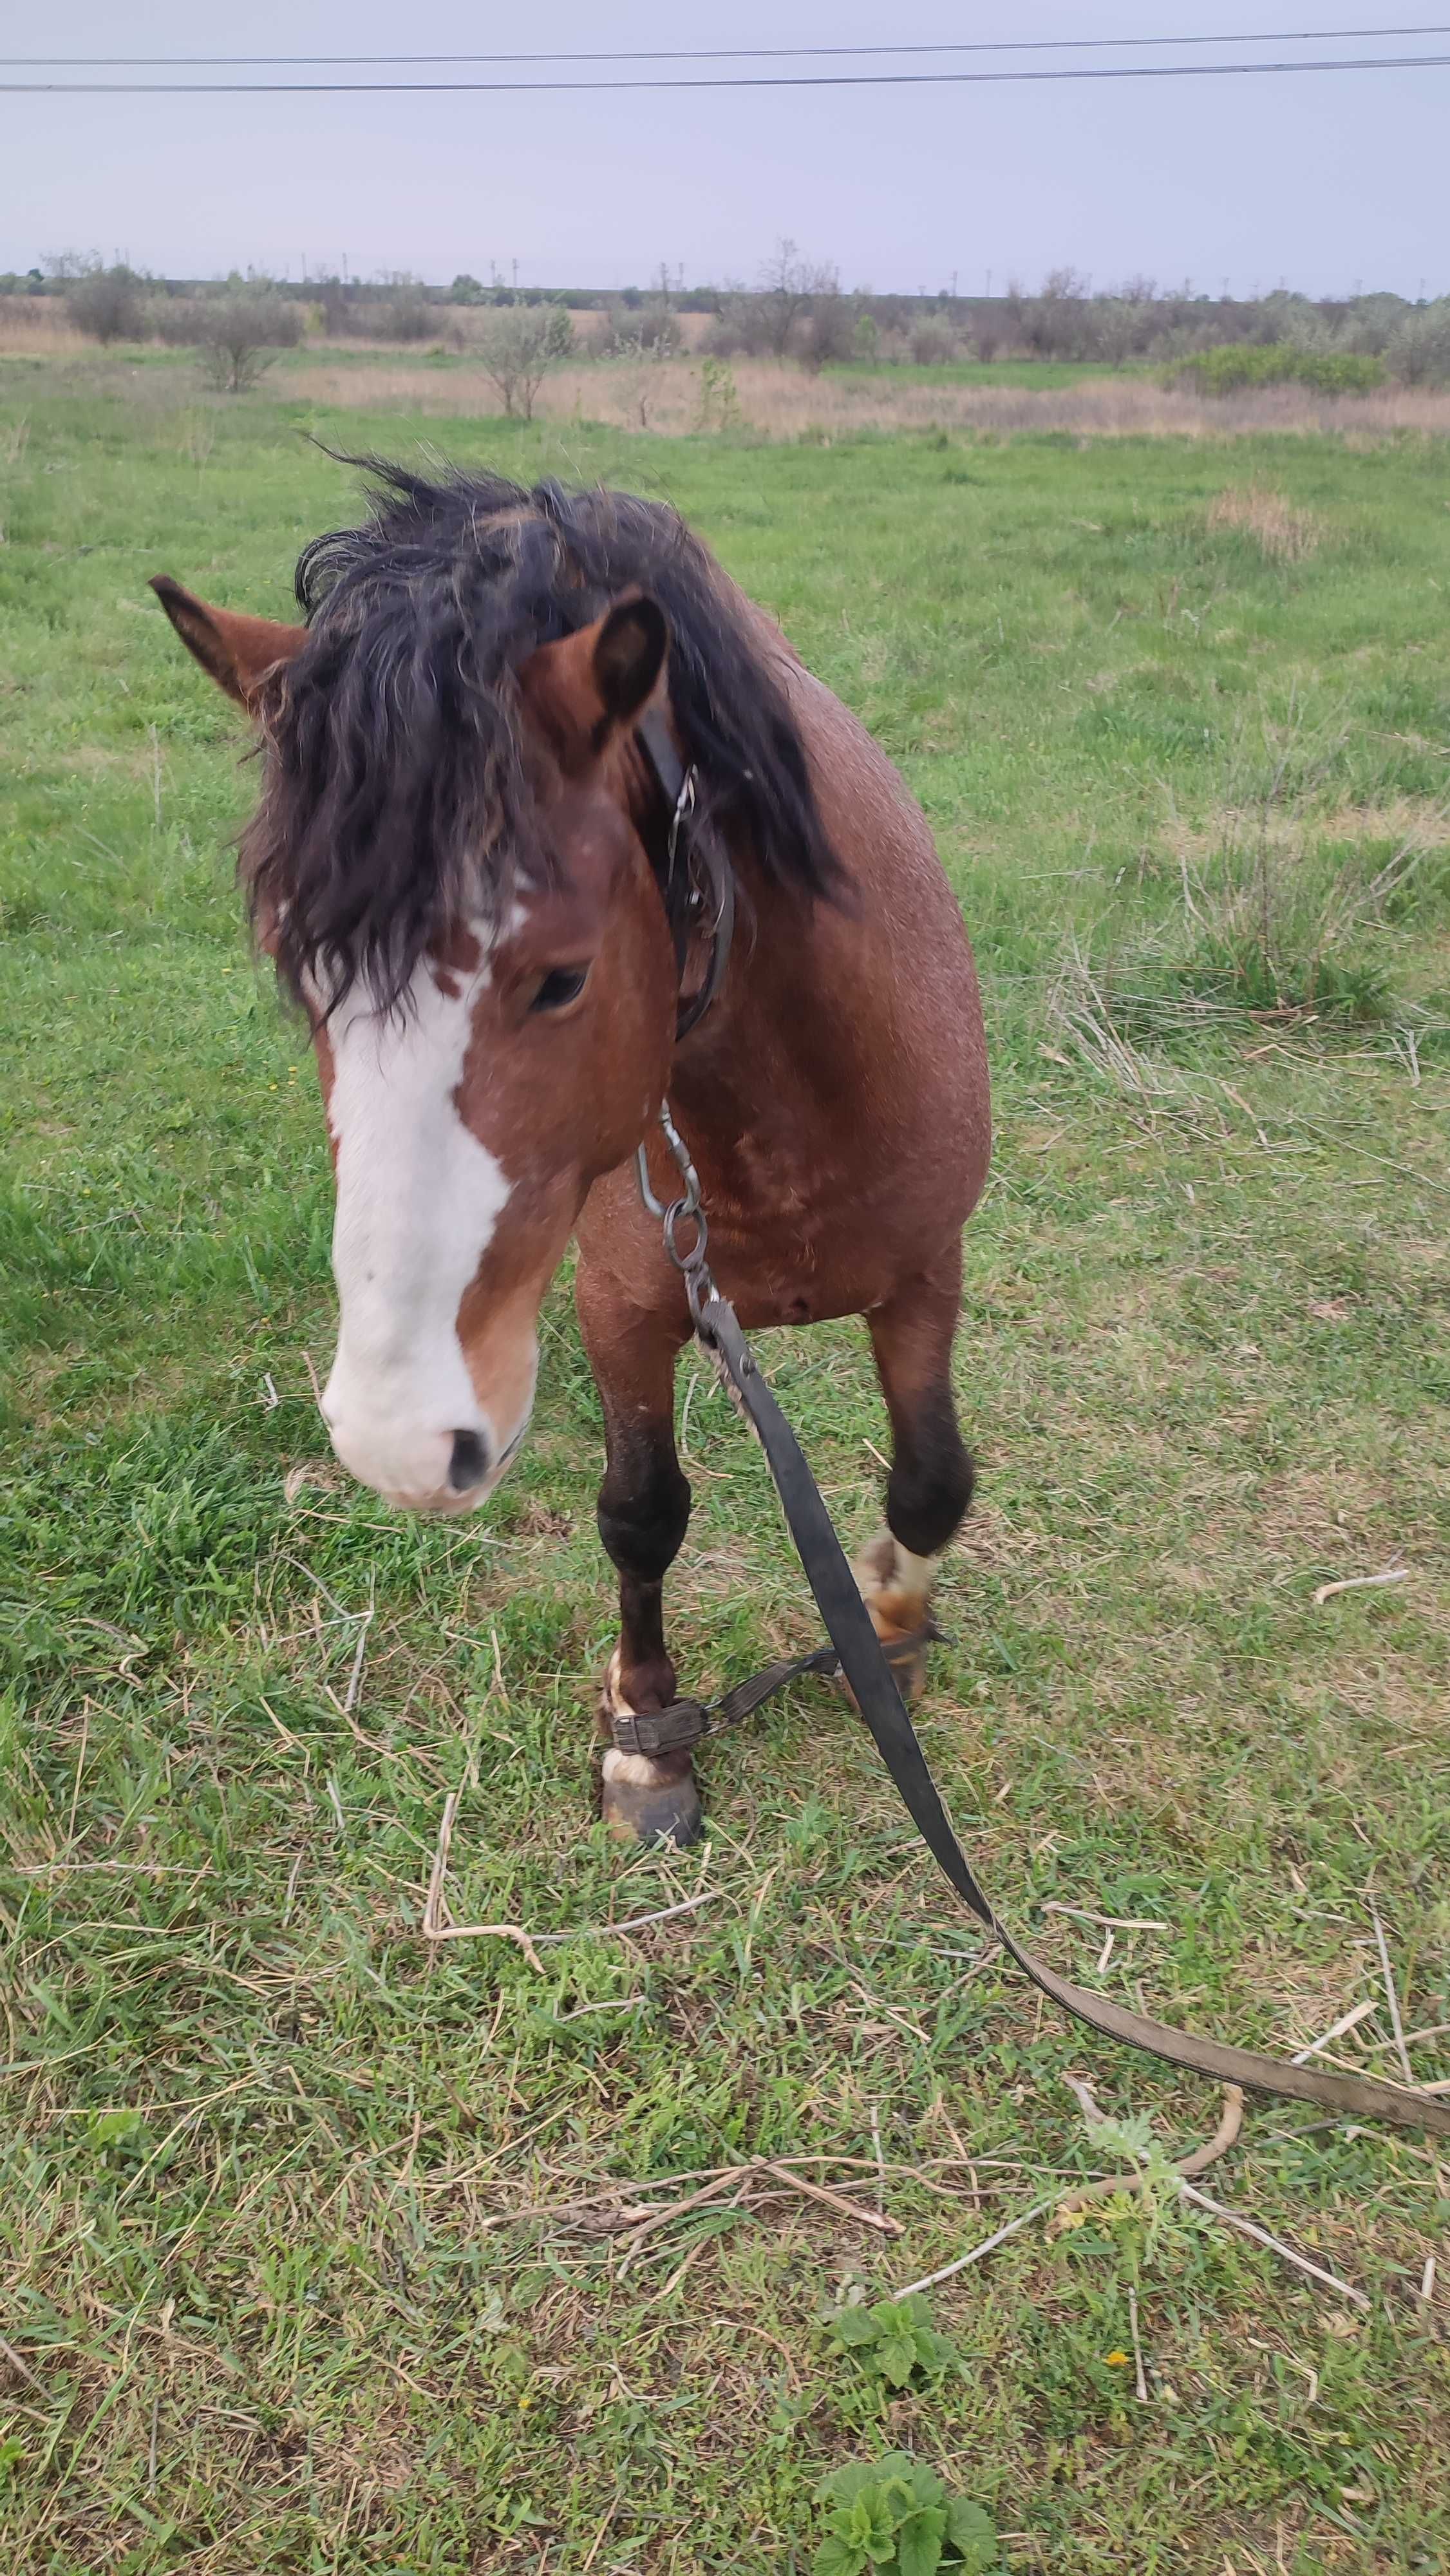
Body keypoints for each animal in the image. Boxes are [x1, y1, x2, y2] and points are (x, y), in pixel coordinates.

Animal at [156, 464, 999, 1855]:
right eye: (299, 971)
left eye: (561, 978)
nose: (396, 1438)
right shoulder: (622, 1306)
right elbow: (642, 1514)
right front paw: (646, 1738)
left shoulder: (930, 1270)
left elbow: (931, 1480)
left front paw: (886, 1622)